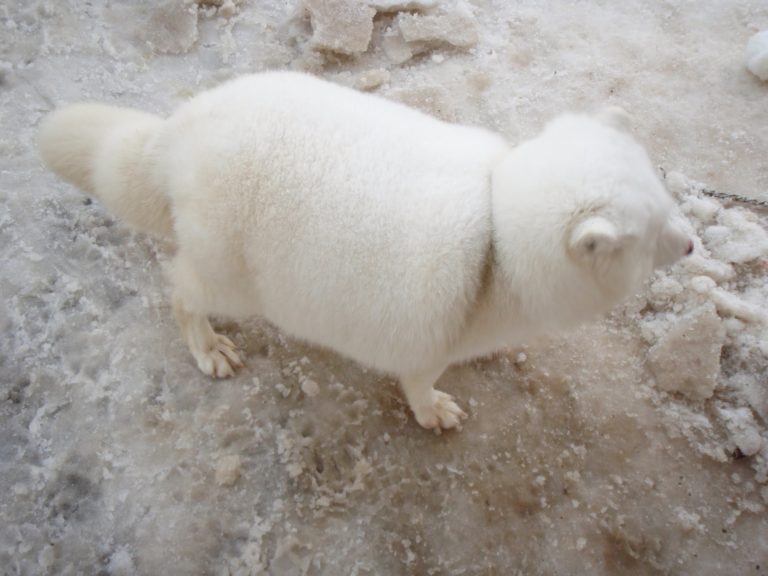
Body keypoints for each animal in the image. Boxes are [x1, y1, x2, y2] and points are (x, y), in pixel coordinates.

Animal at [39, 72, 692, 430]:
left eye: (667, 199)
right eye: (652, 234)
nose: (690, 243)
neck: (497, 239)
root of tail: (179, 135)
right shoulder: (426, 340)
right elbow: (419, 384)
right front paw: (432, 411)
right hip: (230, 278)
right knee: (178, 293)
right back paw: (208, 347)